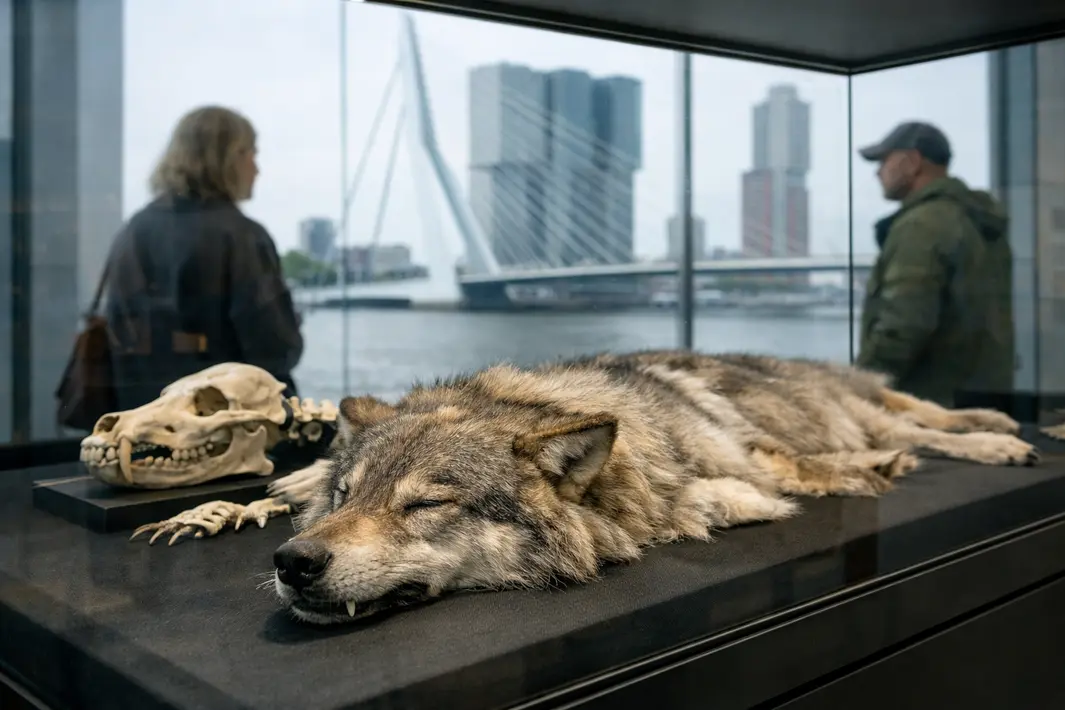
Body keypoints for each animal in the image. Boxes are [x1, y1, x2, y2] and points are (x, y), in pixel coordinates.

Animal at [272, 350, 1037, 624]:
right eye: (346, 498)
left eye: (426, 504)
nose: (292, 562)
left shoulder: (758, 459)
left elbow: (746, 485)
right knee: (911, 424)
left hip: (856, 412)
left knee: (920, 422)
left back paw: (997, 434)